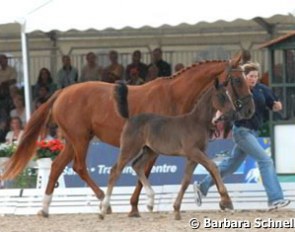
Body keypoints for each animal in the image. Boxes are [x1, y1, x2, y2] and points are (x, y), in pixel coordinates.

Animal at [100, 80, 237, 220]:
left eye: (229, 95)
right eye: (221, 96)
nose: (233, 113)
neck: (197, 122)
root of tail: (130, 118)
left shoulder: (195, 156)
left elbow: (186, 180)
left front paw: (177, 210)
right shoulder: (193, 151)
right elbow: (213, 166)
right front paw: (227, 201)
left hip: (150, 150)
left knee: (137, 165)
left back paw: (150, 202)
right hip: (130, 148)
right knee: (115, 171)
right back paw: (103, 210)